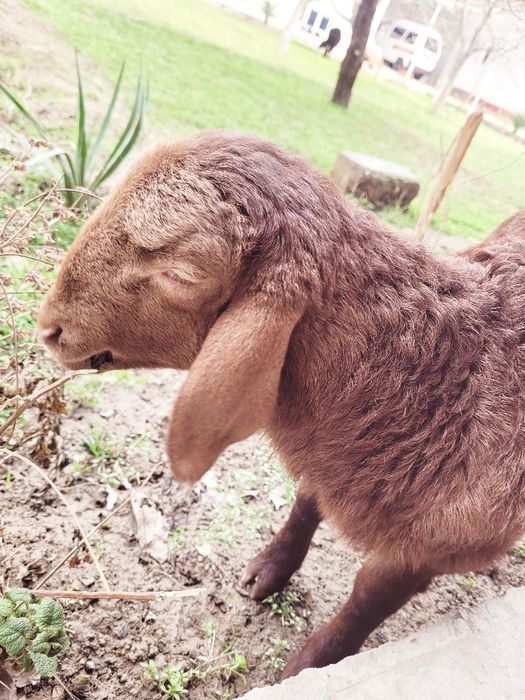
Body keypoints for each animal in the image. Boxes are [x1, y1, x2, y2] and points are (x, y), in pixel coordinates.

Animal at [38, 131, 525, 678]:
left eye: (181, 274)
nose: (49, 328)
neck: (431, 379)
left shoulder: (437, 546)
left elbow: (365, 602)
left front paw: (310, 666)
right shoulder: (328, 457)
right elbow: (304, 506)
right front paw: (269, 571)